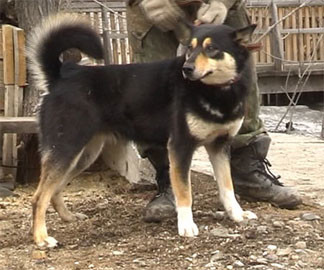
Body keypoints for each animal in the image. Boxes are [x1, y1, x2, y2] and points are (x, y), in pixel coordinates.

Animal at [29, 14, 258, 247]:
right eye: (190, 49)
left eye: (211, 48)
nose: (187, 68)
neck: (216, 91)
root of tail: (61, 76)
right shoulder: (180, 147)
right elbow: (185, 192)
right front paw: (186, 225)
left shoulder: (220, 146)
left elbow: (228, 187)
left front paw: (237, 214)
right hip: (66, 149)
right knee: (39, 197)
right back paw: (41, 238)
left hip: (82, 155)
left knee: (55, 190)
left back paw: (68, 217)